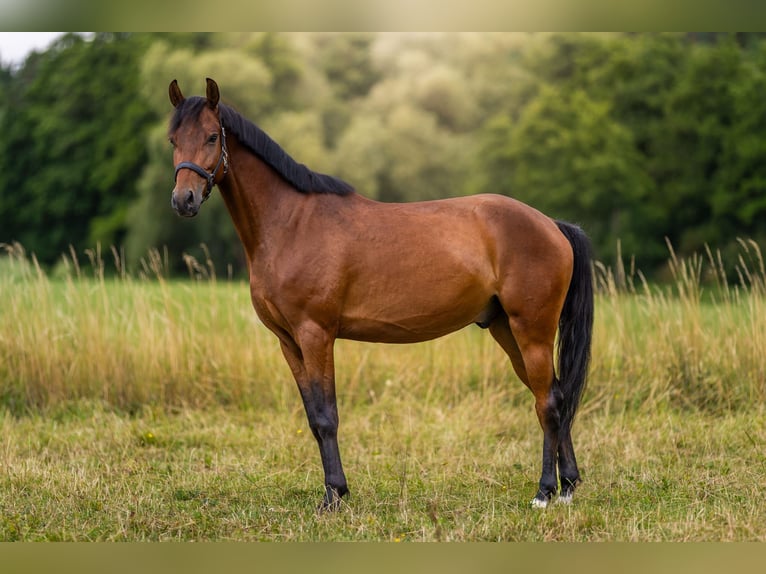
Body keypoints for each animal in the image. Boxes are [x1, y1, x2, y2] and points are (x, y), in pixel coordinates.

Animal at [167, 78, 594, 510]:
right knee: (556, 396)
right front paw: (334, 491)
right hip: (506, 330)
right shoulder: (288, 341)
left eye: (212, 136)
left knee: (547, 403)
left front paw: (334, 496)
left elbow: (327, 417)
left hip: (532, 331)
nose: (183, 200)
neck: (291, 223)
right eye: (173, 139)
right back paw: (568, 486)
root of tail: (552, 225)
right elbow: (313, 418)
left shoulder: (316, 334)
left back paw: (545, 491)